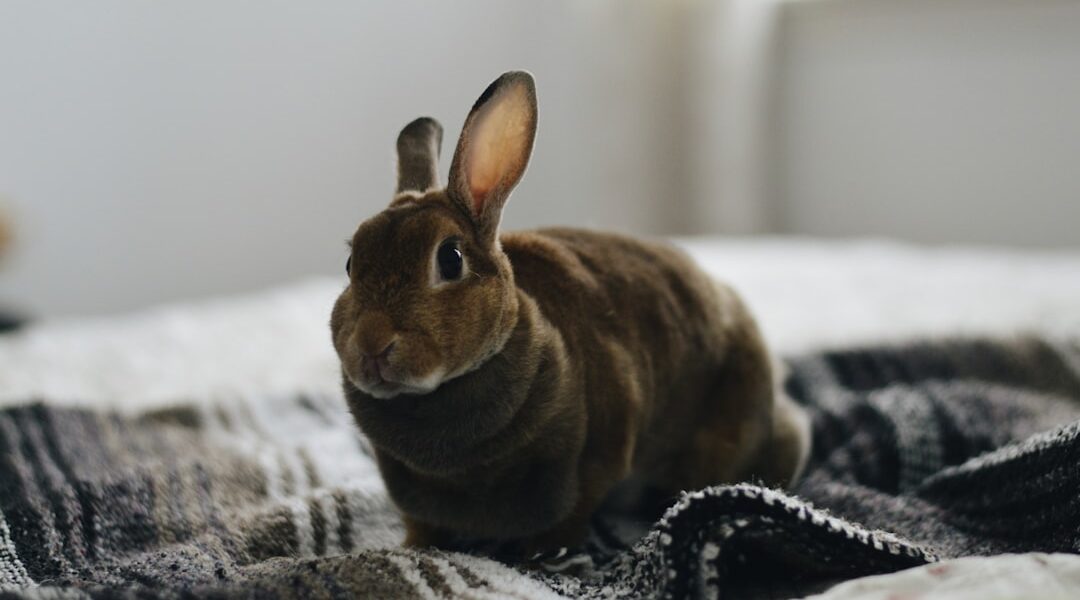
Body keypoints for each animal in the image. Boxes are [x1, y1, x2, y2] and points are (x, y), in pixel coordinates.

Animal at [330, 71, 812, 556]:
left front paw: (539, 558)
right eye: (351, 265)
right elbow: (422, 525)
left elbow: (570, 515)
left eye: (450, 259)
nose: (371, 344)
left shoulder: (596, 455)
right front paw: (412, 548)